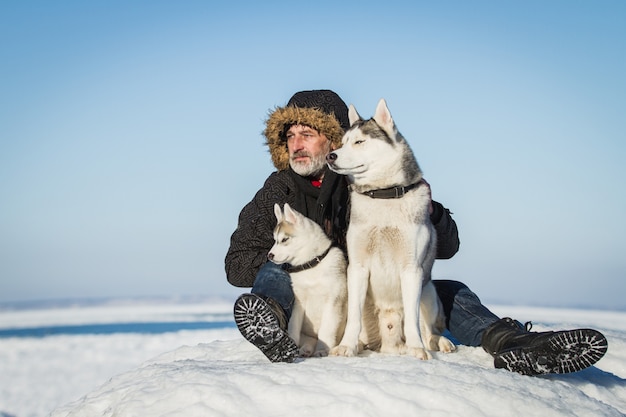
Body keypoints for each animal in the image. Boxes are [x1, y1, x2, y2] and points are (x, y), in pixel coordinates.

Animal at [266, 203, 348, 356]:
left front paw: (322, 350)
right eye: (275, 240)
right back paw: (306, 349)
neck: (311, 265)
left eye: (284, 239)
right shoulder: (299, 302)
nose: (270, 255)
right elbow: (293, 326)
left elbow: (326, 330)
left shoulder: (333, 300)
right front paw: (290, 345)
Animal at [326, 98, 454, 358]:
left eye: (359, 142)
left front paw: (417, 349)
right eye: (343, 142)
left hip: (428, 291)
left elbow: (413, 320)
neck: (383, 195)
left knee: (429, 330)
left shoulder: (411, 269)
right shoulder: (357, 267)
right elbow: (353, 317)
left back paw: (438, 343)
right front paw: (346, 346)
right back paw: (360, 344)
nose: (330, 156)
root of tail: (389, 343)